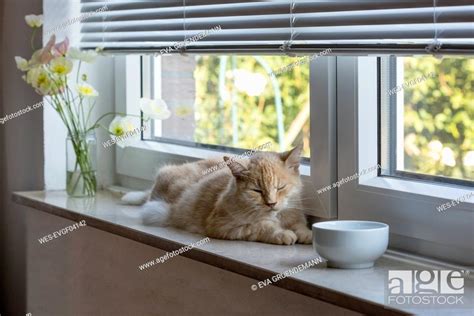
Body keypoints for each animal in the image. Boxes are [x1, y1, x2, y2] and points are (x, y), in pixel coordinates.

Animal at [124, 144, 312, 246]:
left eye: (280, 187)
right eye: (257, 191)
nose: (271, 203)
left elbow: (298, 224)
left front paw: (305, 233)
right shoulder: (224, 226)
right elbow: (261, 226)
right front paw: (281, 233)